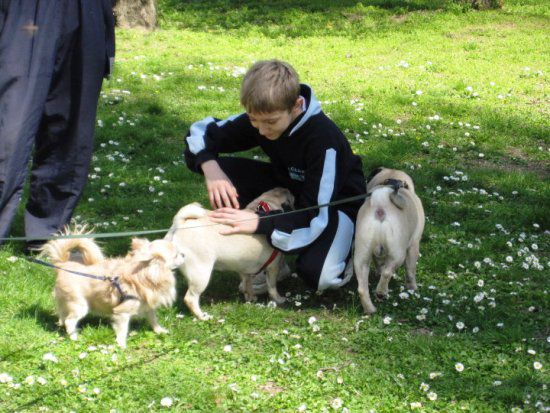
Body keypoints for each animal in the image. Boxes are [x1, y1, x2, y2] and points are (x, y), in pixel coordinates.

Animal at [41, 232, 183, 348]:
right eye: (176, 255)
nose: (184, 254)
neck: (142, 275)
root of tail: (63, 265)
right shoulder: (122, 313)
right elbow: (122, 330)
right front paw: (121, 345)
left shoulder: (147, 306)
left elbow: (153, 319)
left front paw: (159, 330)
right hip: (79, 305)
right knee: (70, 321)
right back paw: (74, 338)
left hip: (66, 302)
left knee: (62, 315)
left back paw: (62, 326)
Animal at [166, 187, 296, 318]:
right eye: (292, 200)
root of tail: (181, 223)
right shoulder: (273, 267)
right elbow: (272, 287)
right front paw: (279, 299)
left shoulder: (245, 269)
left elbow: (247, 284)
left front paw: (251, 298)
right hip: (201, 273)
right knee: (190, 298)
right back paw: (202, 317)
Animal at [354, 167, 426, 312]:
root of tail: (380, 203)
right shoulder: (414, 245)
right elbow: (410, 271)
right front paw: (412, 288)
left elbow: (379, 264)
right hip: (398, 253)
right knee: (388, 272)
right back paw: (381, 292)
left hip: (361, 256)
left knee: (362, 288)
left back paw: (370, 310)